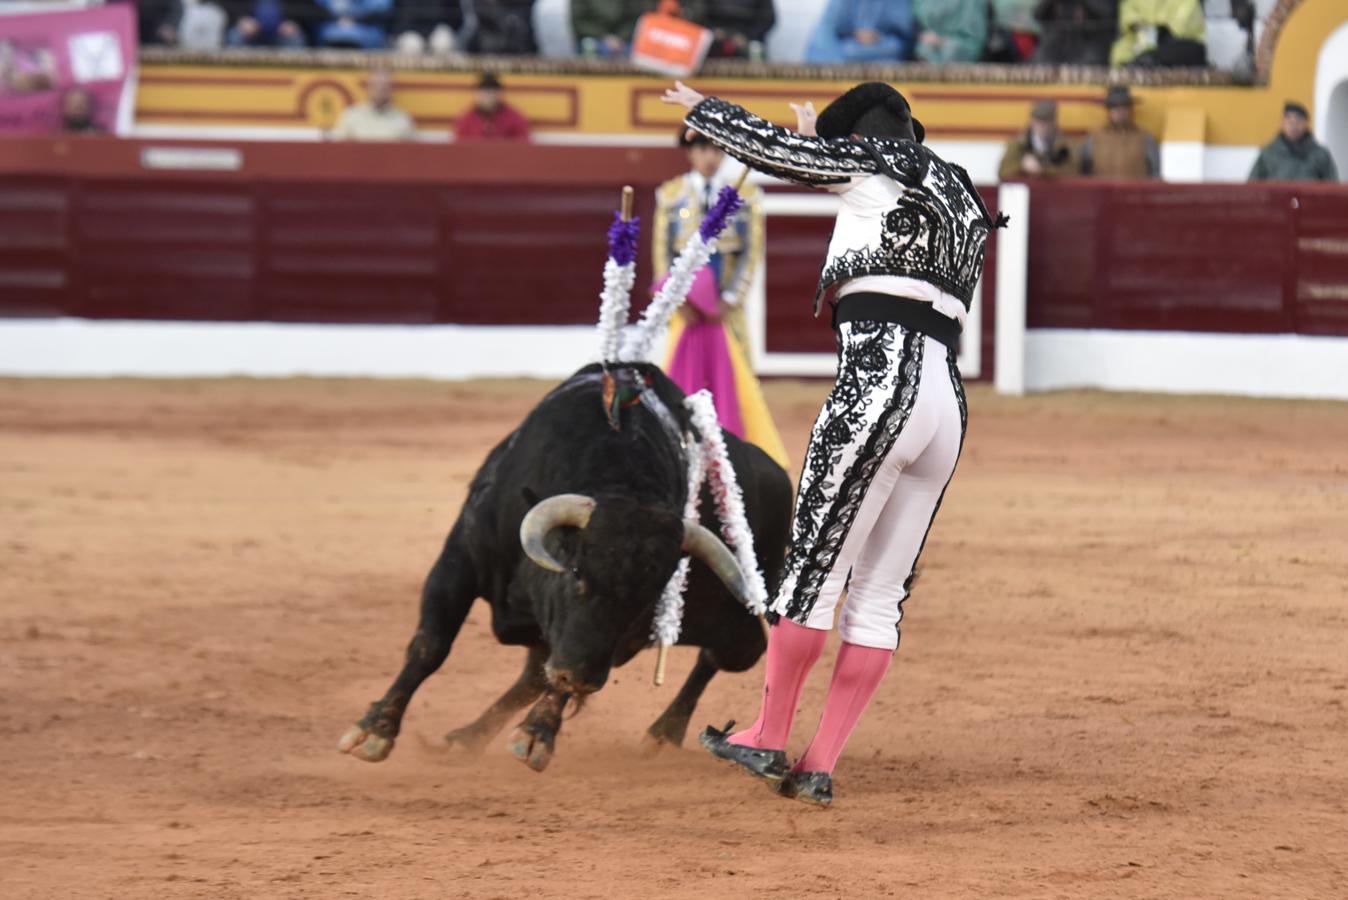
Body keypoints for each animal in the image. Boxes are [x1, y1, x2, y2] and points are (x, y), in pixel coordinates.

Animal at [337, 361, 792, 770]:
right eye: (575, 572)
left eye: (649, 599)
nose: (584, 680)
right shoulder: (458, 561)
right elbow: (430, 645)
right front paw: (374, 730)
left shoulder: (608, 643)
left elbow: (559, 675)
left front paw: (537, 735)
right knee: (533, 673)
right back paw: (466, 739)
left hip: (739, 632)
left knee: (718, 658)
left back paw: (663, 734)